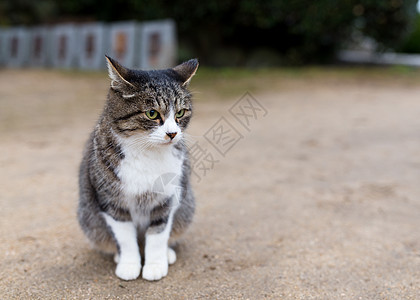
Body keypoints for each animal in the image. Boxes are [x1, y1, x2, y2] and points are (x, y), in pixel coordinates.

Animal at [77, 56, 199, 282]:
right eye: (152, 114)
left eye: (180, 112)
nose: (172, 133)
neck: (146, 152)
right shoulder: (112, 202)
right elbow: (126, 238)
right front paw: (129, 265)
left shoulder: (166, 200)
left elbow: (158, 236)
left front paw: (155, 265)